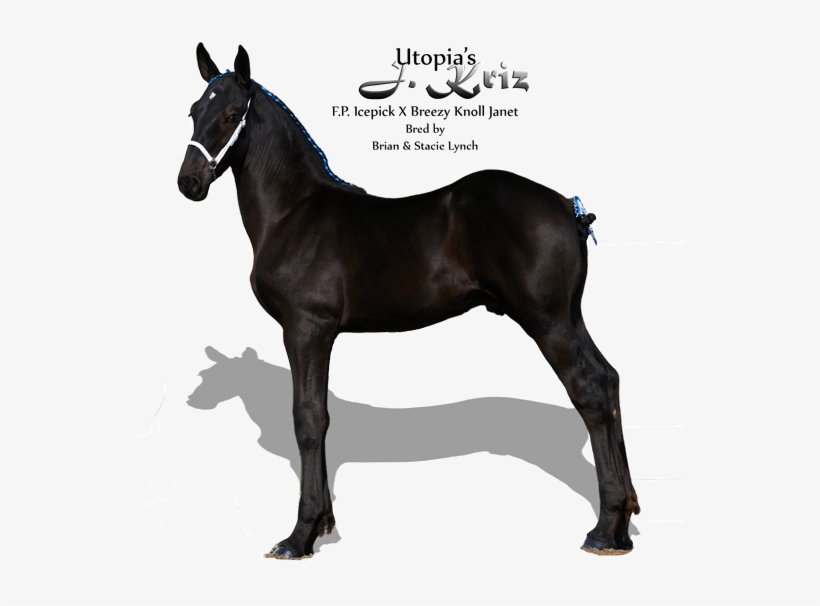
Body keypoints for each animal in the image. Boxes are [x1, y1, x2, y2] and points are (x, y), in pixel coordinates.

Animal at [177, 43, 640, 560]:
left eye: (230, 115)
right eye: (194, 111)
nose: (189, 182)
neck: (293, 212)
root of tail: (568, 207)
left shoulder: (306, 328)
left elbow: (308, 420)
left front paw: (299, 536)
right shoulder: (320, 334)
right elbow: (319, 416)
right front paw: (323, 525)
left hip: (548, 321)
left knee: (590, 390)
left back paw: (603, 530)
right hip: (567, 317)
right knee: (609, 380)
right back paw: (622, 526)